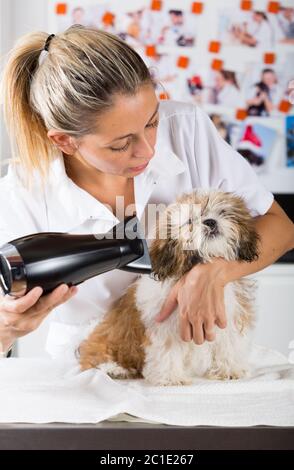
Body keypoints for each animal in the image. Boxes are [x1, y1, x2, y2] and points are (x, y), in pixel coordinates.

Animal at [78, 190, 260, 386]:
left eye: (223, 212)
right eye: (190, 221)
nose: (210, 222)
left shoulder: (227, 317)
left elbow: (228, 342)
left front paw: (229, 369)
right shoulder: (163, 326)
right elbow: (168, 349)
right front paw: (170, 378)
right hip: (107, 341)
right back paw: (114, 369)